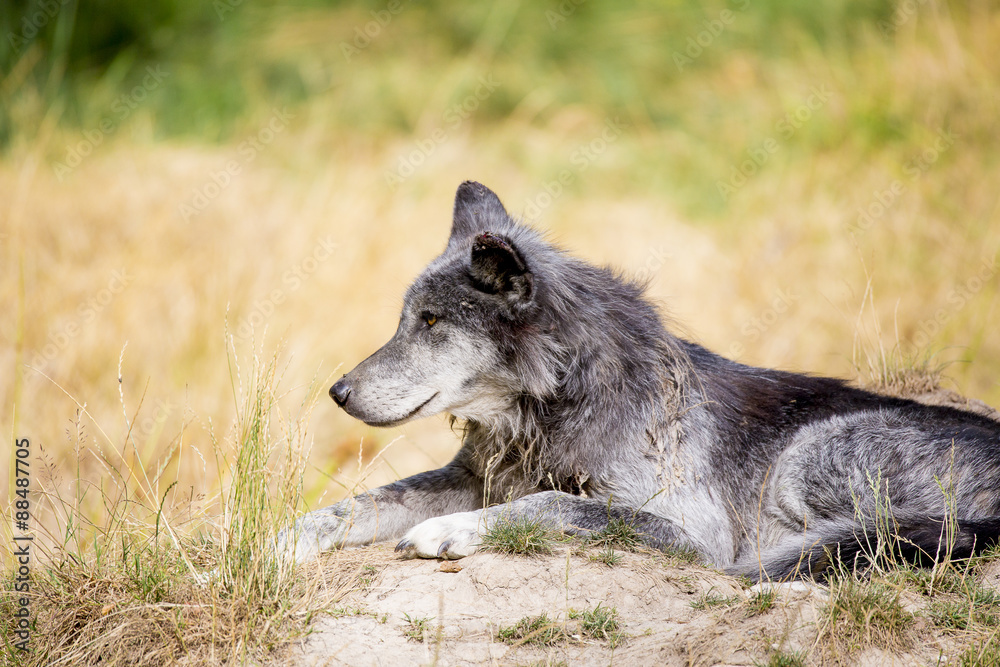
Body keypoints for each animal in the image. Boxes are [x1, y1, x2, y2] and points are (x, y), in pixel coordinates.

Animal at [279, 181, 1000, 581]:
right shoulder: (475, 475)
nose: (337, 393)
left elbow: (553, 504)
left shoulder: (693, 530)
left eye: (430, 320)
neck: (561, 408)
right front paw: (284, 538)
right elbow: (368, 499)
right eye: (406, 318)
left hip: (809, 455)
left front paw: (449, 529)